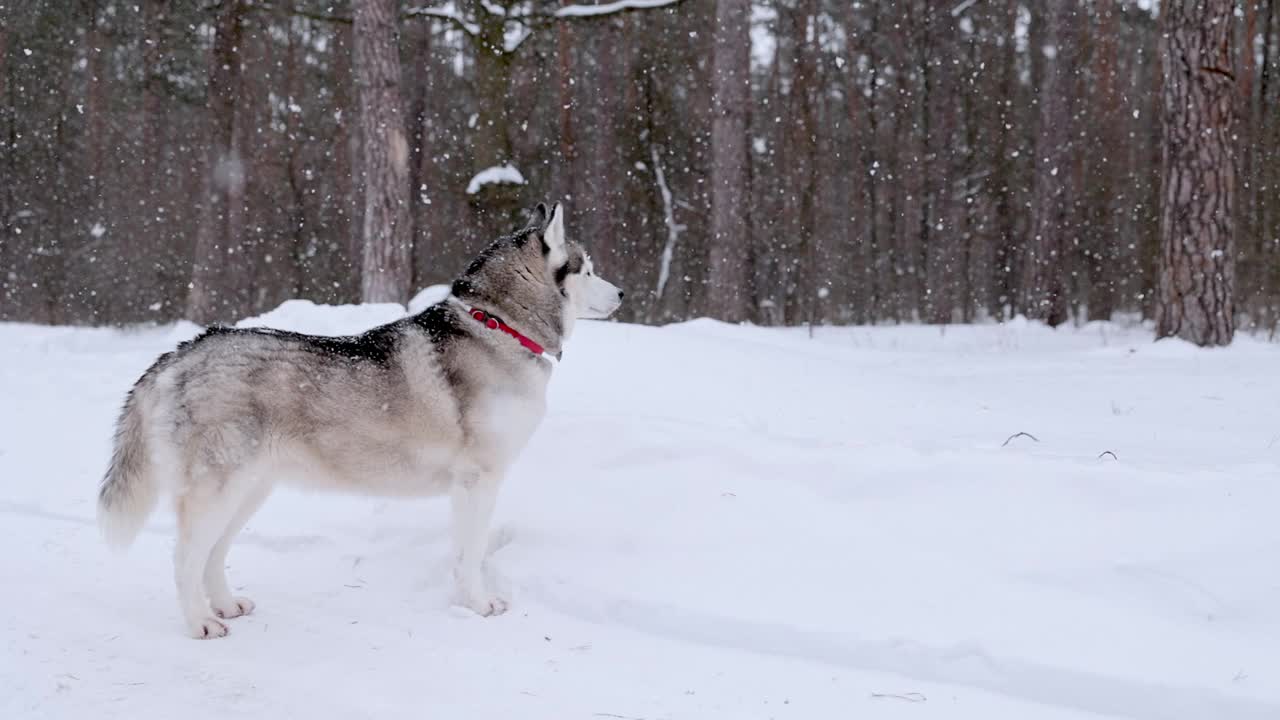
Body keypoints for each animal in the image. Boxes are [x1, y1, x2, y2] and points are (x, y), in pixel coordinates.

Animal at [97, 202, 622, 632]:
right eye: (589, 269)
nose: (620, 292)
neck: (499, 326)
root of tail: (181, 352)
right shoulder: (478, 479)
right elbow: (469, 553)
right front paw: (478, 604)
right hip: (218, 490)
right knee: (185, 558)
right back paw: (200, 622)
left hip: (249, 490)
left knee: (213, 554)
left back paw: (224, 605)